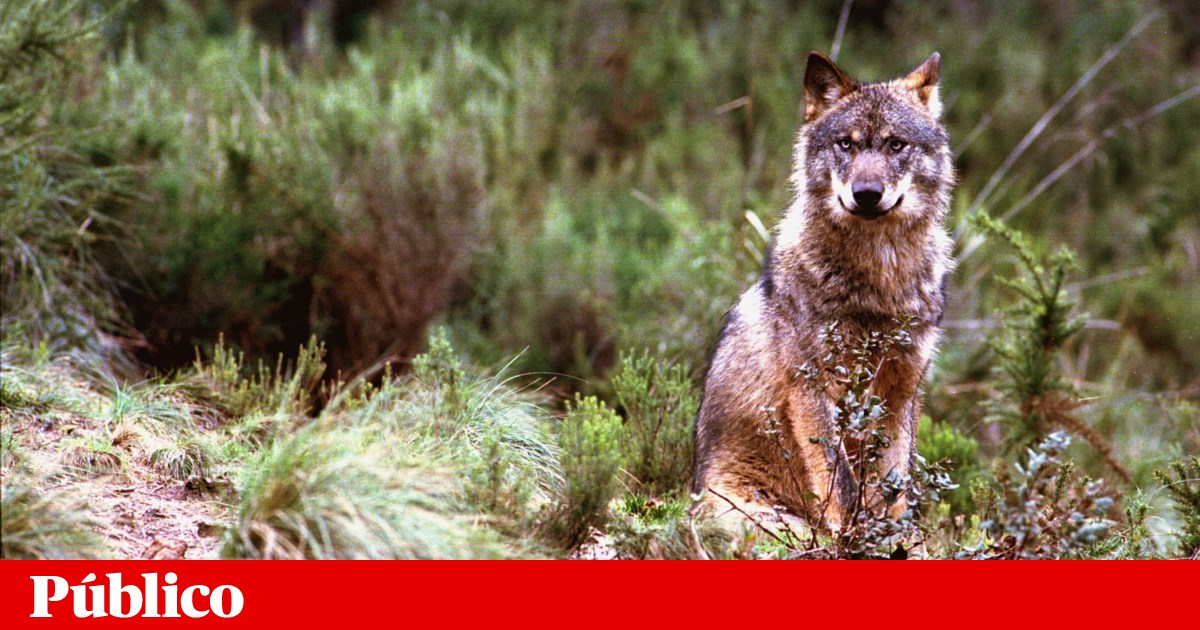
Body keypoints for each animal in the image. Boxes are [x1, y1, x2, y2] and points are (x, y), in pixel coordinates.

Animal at [692, 51, 955, 528]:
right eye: (846, 144)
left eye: (895, 145)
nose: (866, 194)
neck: (879, 283)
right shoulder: (812, 390)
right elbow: (845, 488)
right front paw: (852, 537)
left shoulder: (901, 392)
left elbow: (895, 490)